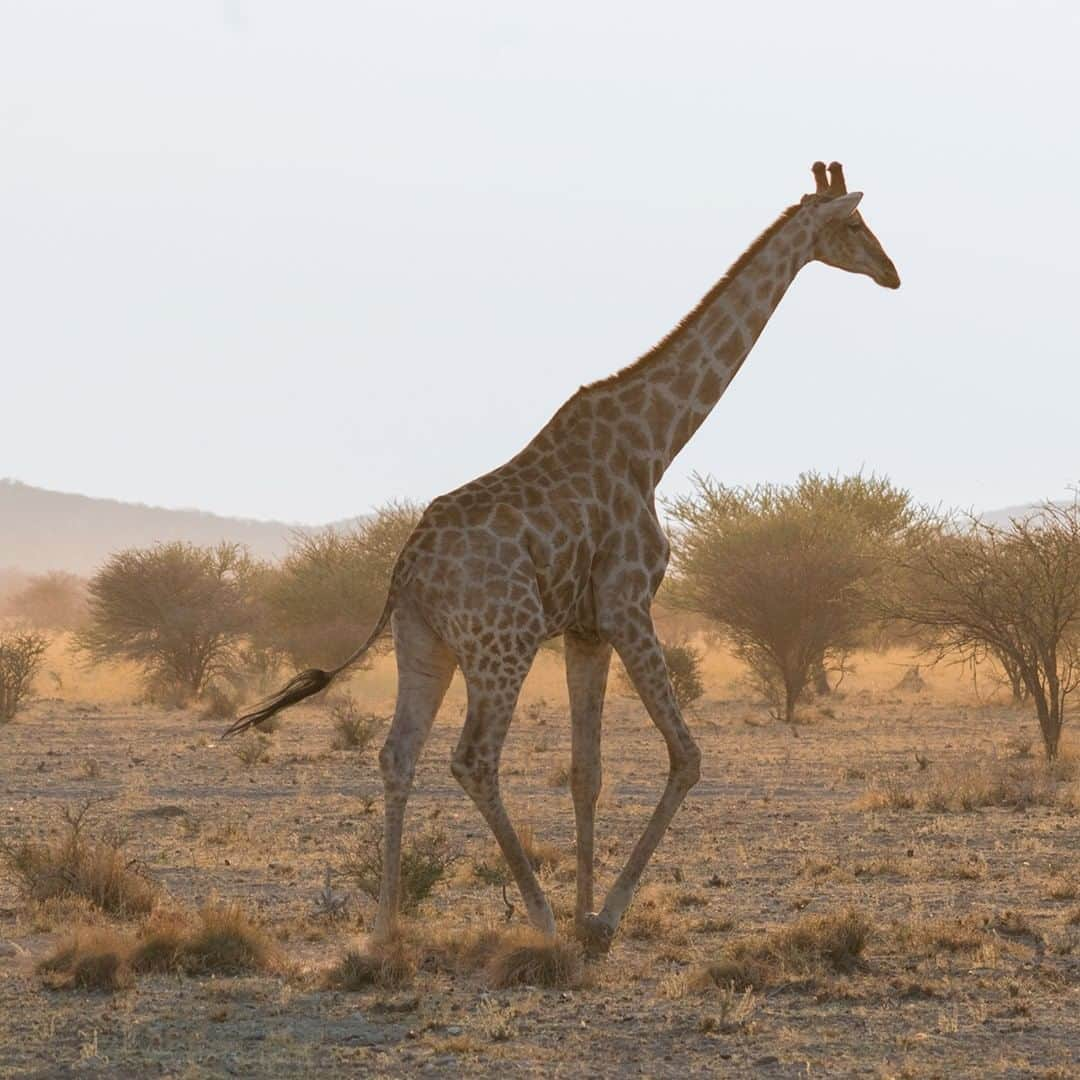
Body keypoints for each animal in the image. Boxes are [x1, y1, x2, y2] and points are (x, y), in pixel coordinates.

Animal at [225, 157, 902, 954]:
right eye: (854, 225)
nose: (892, 273)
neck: (656, 442)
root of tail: (404, 572)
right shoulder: (627, 602)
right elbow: (686, 756)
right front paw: (598, 920)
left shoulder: (585, 627)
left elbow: (588, 771)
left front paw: (586, 920)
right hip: (504, 642)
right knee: (472, 759)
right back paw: (537, 918)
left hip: (425, 644)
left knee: (398, 754)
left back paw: (387, 928)